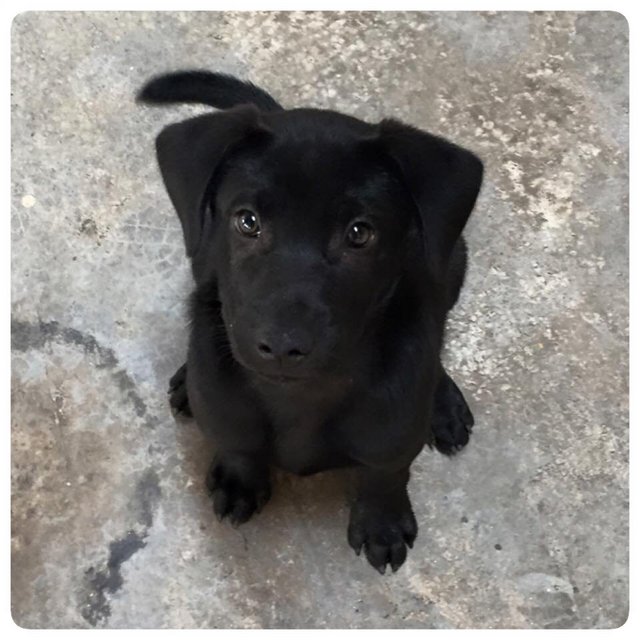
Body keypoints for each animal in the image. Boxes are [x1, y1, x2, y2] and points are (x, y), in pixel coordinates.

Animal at [138, 71, 482, 576]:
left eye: (360, 233)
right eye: (247, 221)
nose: (283, 346)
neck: (302, 396)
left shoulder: (394, 430)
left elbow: (386, 472)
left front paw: (382, 522)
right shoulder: (227, 407)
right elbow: (236, 439)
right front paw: (239, 479)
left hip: (452, 261)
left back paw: (444, 403)